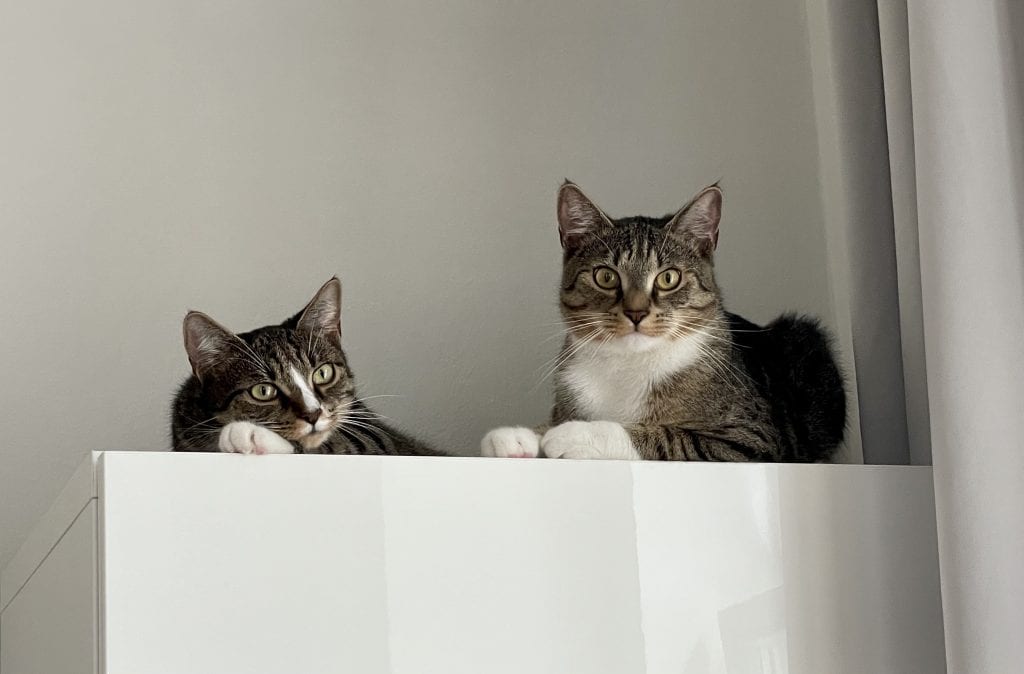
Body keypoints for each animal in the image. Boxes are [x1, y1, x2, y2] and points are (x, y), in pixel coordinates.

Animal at [171, 276, 440, 454]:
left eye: (323, 373)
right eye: (263, 391)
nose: (313, 414)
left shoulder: (373, 435)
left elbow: (339, 444)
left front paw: (247, 434)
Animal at [483, 181, 843, 458]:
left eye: (668, 278)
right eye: (605, 277)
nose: (636, 312)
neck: (628, 364)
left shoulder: (752, 440)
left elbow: (668, 436)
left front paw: (576, 435)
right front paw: (519, 437)